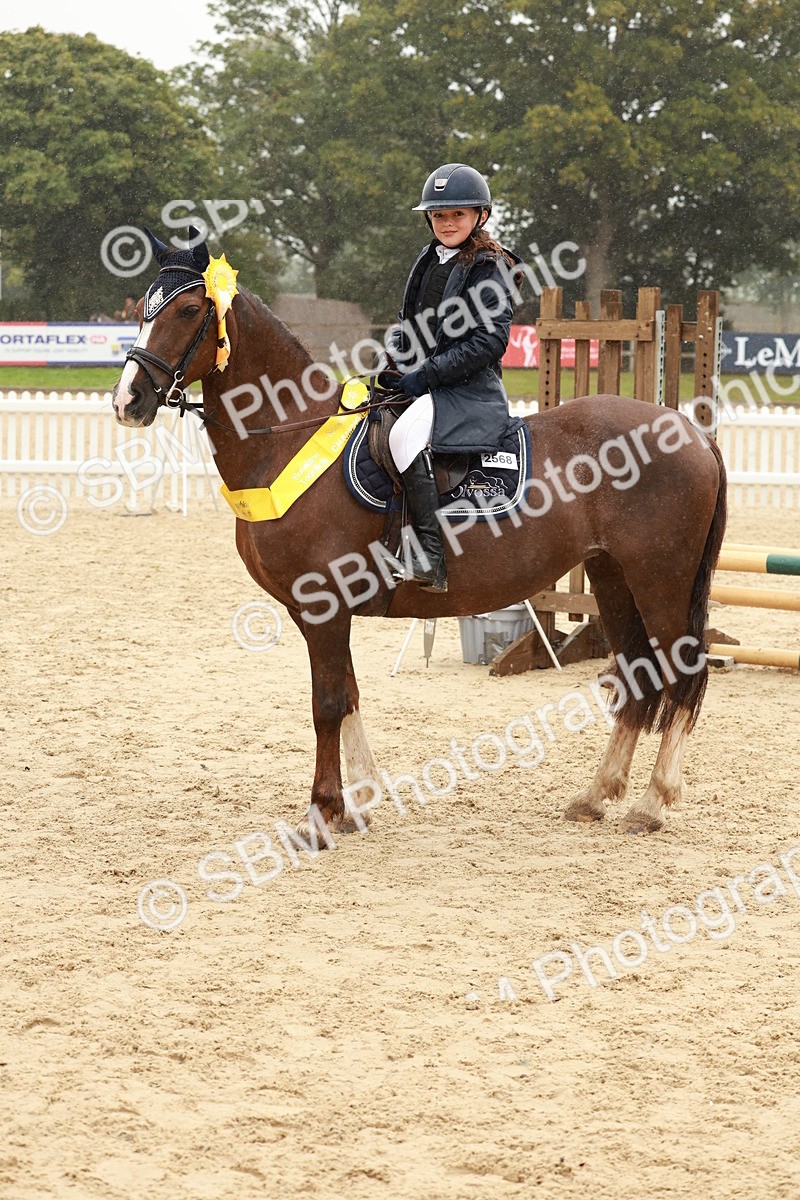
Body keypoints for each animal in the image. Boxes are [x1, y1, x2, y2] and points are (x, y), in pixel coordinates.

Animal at [112, 230, 726, 837]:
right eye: (143, 309)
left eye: (189, 310)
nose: (127, 401)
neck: (287, 438)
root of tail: (689, 431)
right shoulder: (316, 612)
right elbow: (349, 694)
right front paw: (357, 803)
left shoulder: (323, 606)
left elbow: (327, 703)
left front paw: (322, 812)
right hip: (613, 578)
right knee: (638, 675)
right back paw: (596, 796)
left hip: (660, 581)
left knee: (681, 673)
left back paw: (652, 803)